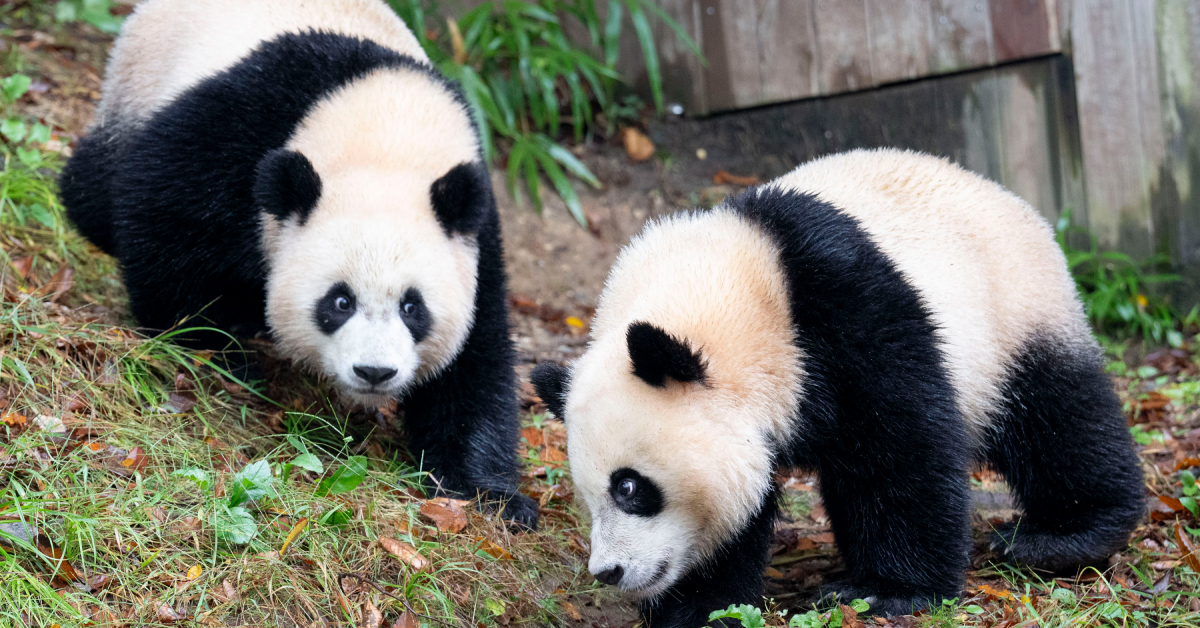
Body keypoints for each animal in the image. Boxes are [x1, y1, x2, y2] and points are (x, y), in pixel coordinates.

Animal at [59, 0, 540, 530]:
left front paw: (489, 495)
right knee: (96, 183)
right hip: (138, 84)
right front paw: (214, 347)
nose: (375, 372)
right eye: (340, 301)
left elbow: (476, 361)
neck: (389, 136)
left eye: (413, 308)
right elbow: (160, 210)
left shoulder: (475, 237)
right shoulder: (247, 127)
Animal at [535, 148, 1142, 624]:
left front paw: (887, 591)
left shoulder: (847, 314)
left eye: (629, 488)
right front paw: (697, 606)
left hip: (1014, 311)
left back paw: (1061, 537)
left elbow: (899, 450)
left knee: (1058, 416)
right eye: (587, 494)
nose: (609, 572)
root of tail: (1003, 193)